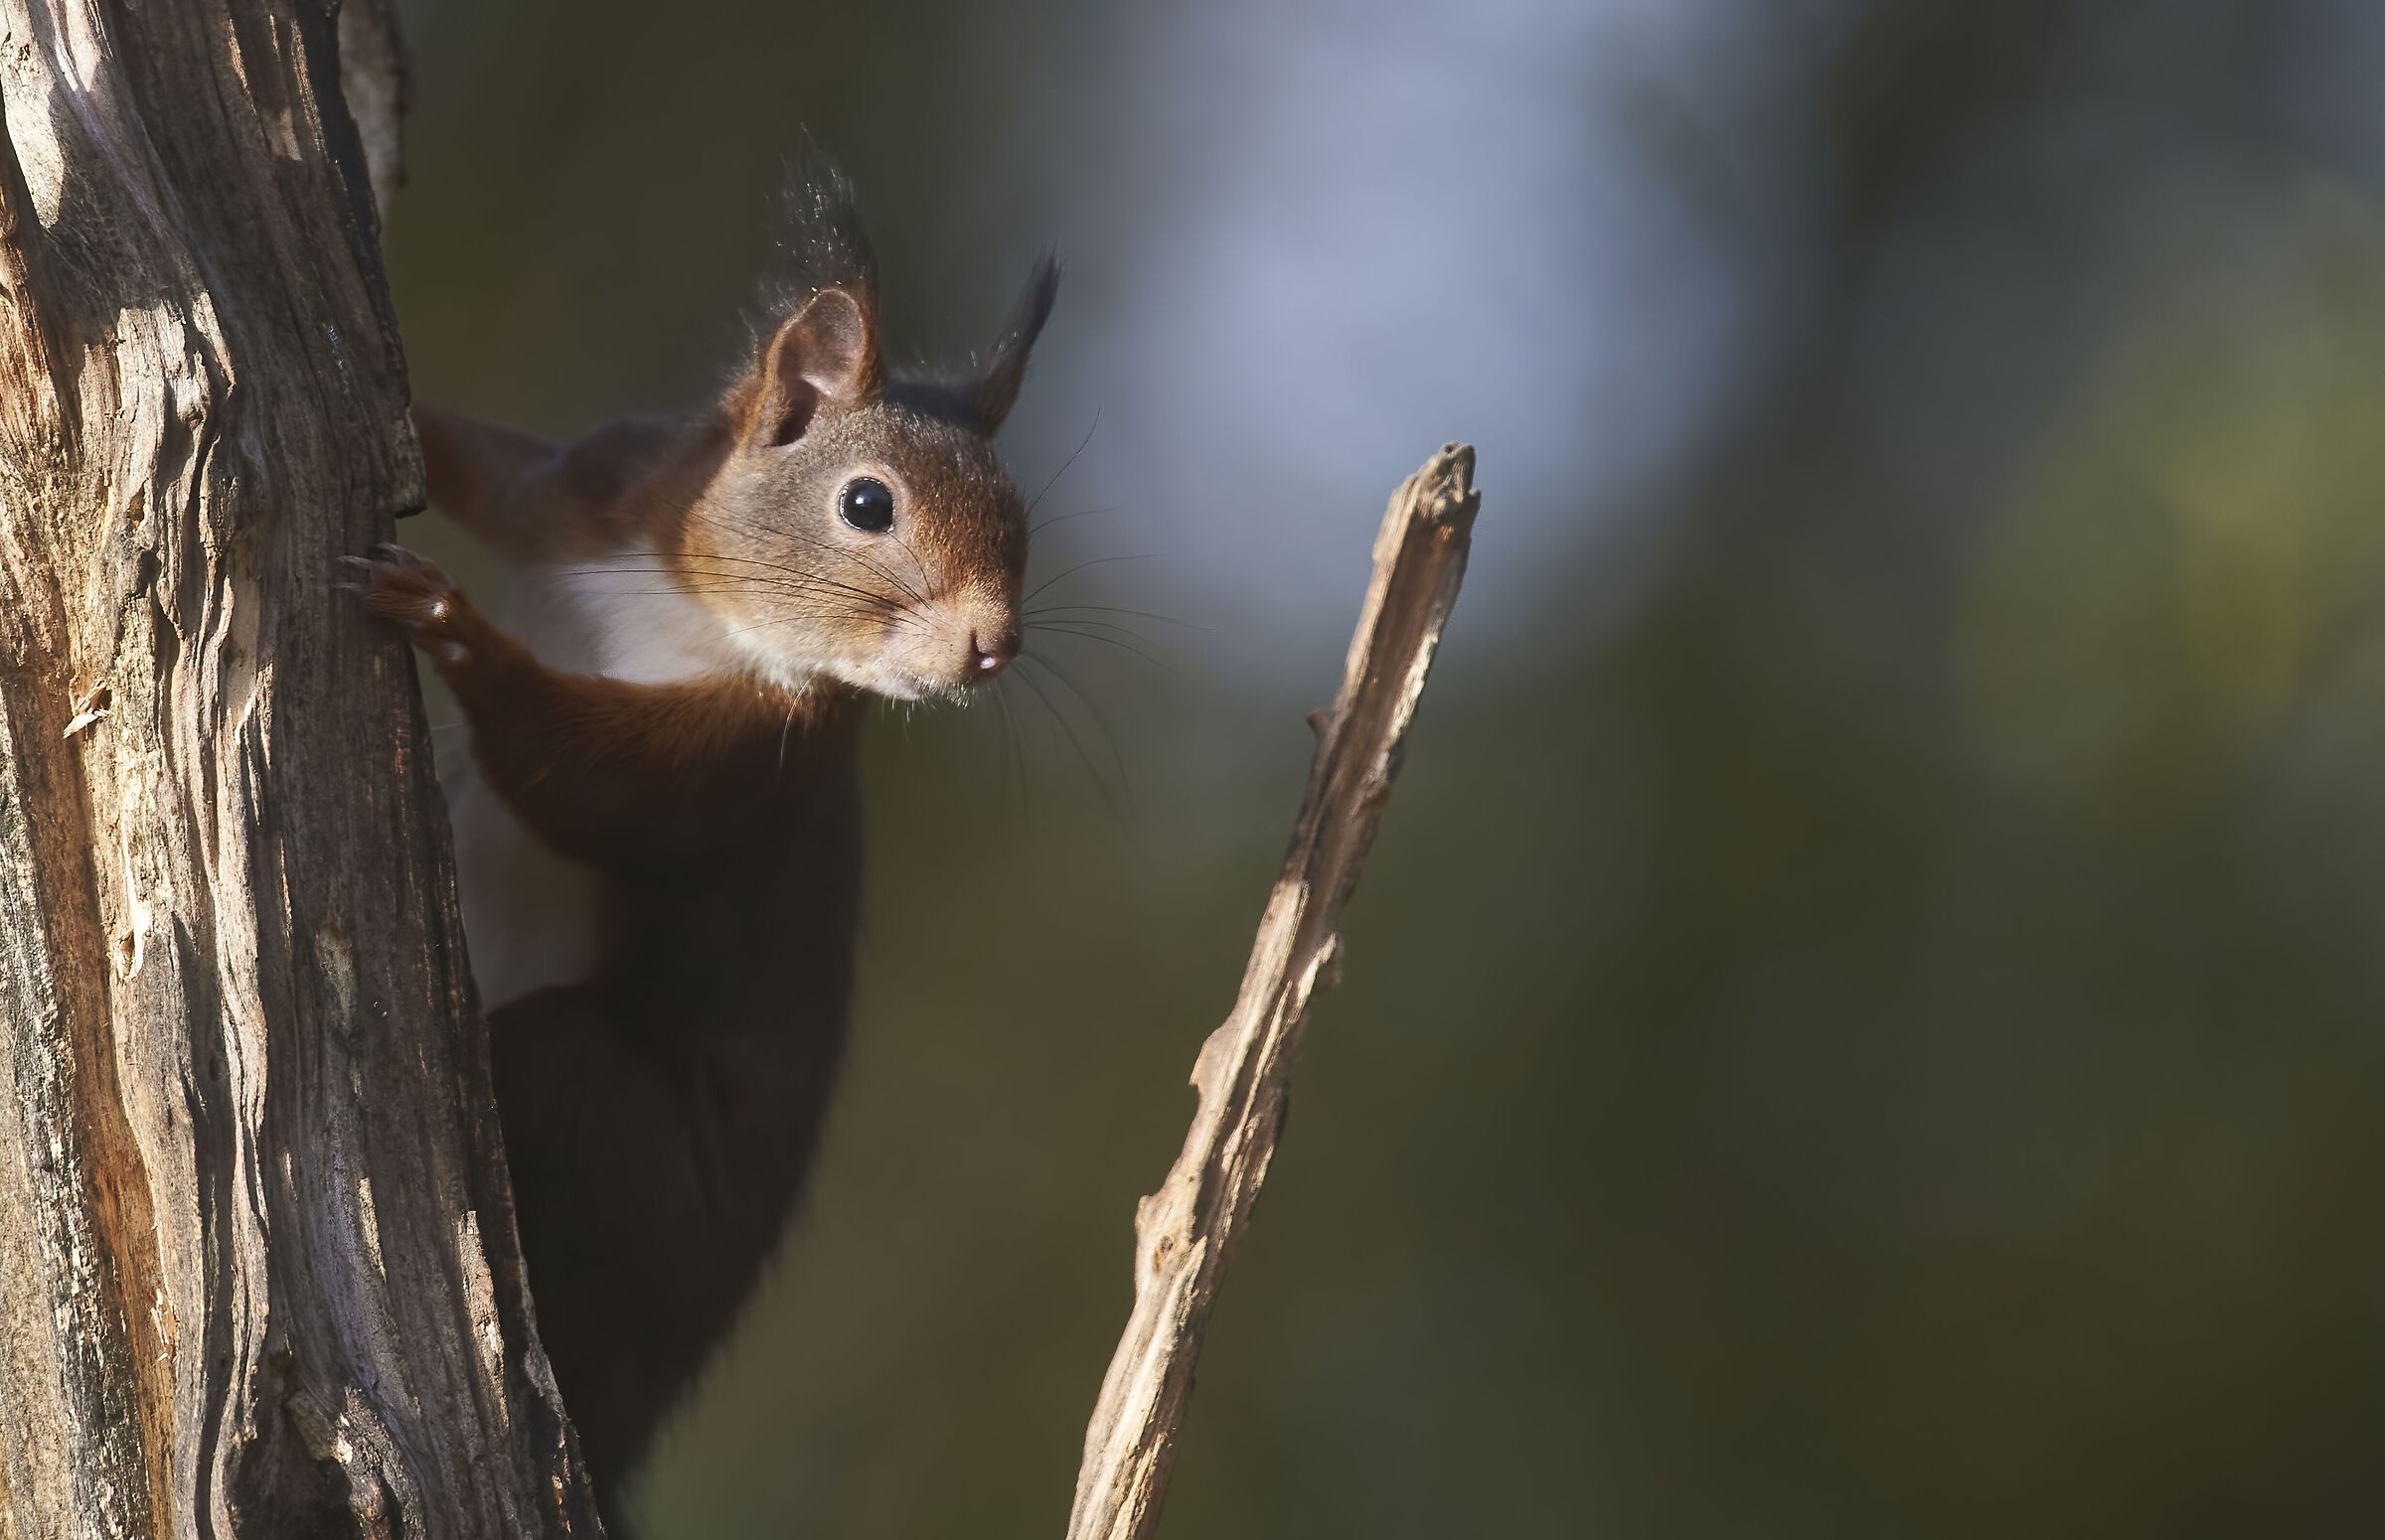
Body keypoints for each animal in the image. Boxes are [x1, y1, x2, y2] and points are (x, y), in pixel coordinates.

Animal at [346, 156, 1057, 1521]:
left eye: (1023, 521)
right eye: (867, 502)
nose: (991, 646)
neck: (697, 596)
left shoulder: (759, 760)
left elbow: (604, 786)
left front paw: (454, 627)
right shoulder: (596, 487)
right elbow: (478, 461)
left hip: (611, 1139)